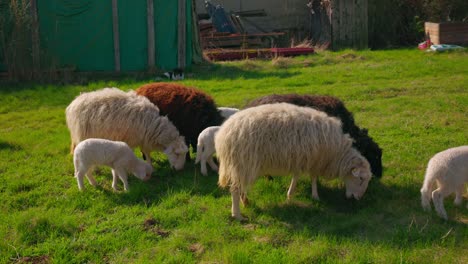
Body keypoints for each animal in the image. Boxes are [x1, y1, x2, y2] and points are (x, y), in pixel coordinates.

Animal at [216, 103, 372, 221]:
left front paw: (290, 195)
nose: (358, 198)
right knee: (235, 189)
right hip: (243, 163)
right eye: (360, 179)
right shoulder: (313, 159)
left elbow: (297, 176)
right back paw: (237, 215)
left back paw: (246, 202)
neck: (337, 152)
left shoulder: (301, 158)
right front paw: (315, 196)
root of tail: (223, 135)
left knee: (240, 187)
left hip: (243, 166)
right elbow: (313, 178)